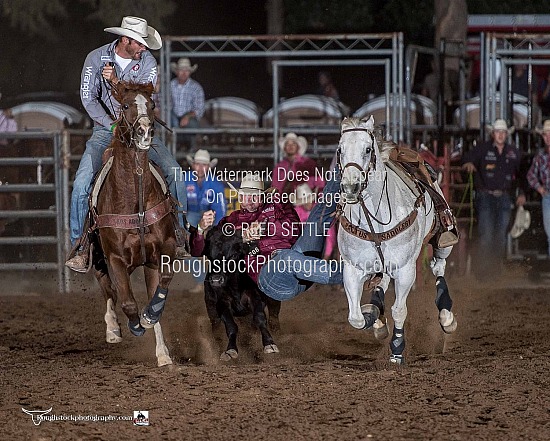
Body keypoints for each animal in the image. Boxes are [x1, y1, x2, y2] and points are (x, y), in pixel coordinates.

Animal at [90, 81, 177, 366]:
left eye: (152, 104)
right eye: (126, 105)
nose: (144, 131)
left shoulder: (164, 247)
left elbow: (161, 286)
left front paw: (149, 317)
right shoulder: (115, 257)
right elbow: (127, 302)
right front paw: (133, 325)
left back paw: (161, 352)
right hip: (98, 255)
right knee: (108, 289)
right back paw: (112, 329)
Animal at [338, 115, 460, 362]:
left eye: (367, 149)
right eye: (340, 150)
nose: (350, 187)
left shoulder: (405, 270)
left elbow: (399, 310)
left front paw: (396, 348)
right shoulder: (353, 269)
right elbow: (356, 317)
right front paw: (373, 316)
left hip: (443, 241)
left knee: (438, 267)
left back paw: (446, 316)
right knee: (383, 281)